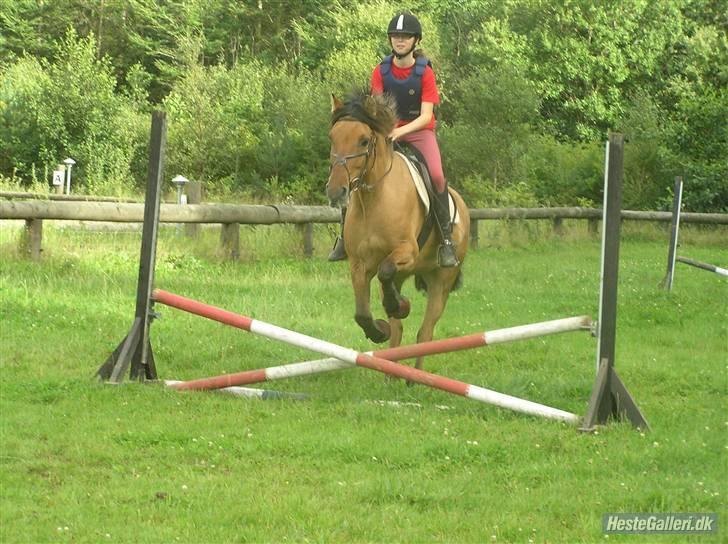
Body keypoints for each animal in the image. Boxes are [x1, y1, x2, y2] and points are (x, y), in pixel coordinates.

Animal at [328, 93, 470, 372]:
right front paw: (380, 329)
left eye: (364, 140)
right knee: (398, 329)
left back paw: (412, 376)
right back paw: (391, 372)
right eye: (332, 137)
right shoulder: (359, 265)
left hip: (441, 281)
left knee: (425, 333)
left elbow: (385, 270)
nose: (336, 192)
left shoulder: (407, 251)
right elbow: (362, 314)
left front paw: (399, 305)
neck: (374, 199)